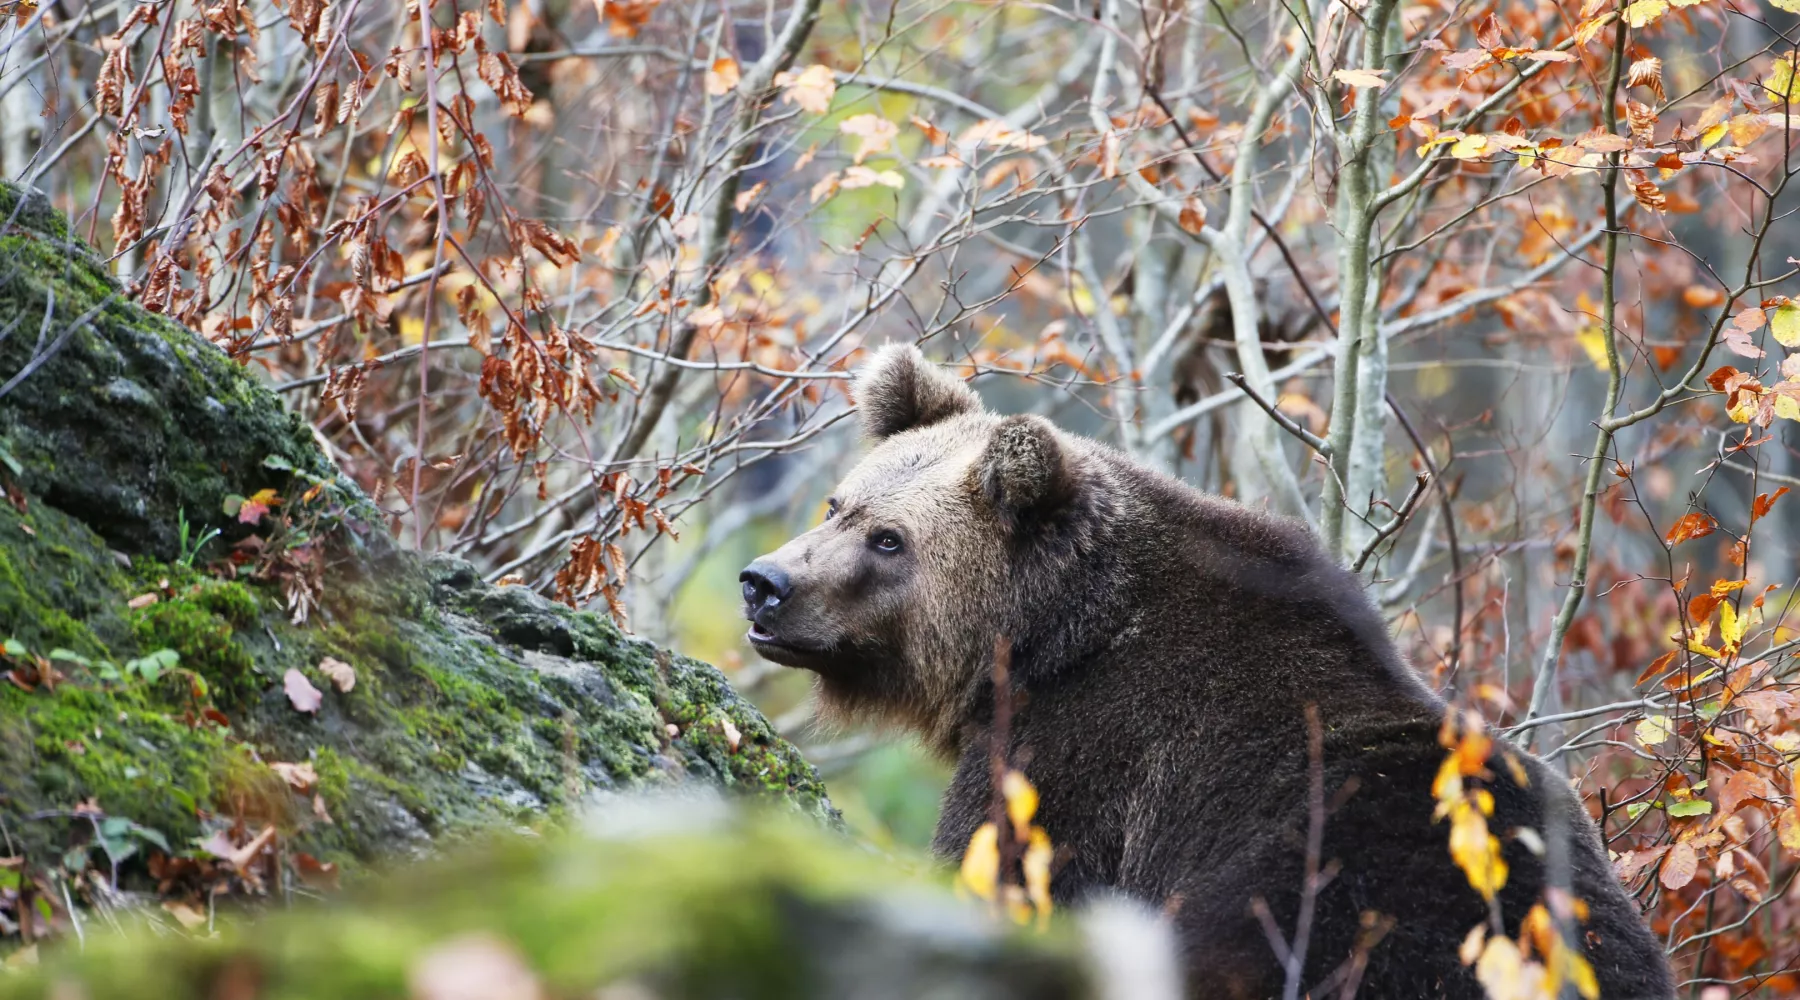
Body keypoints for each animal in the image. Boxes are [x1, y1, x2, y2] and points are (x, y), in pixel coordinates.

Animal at [738, 345, 1677, 1000]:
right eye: (838, 504)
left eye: (889, 539)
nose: (764, 583)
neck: (1045, 641)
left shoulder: (1075, 769)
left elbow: (999, 872)